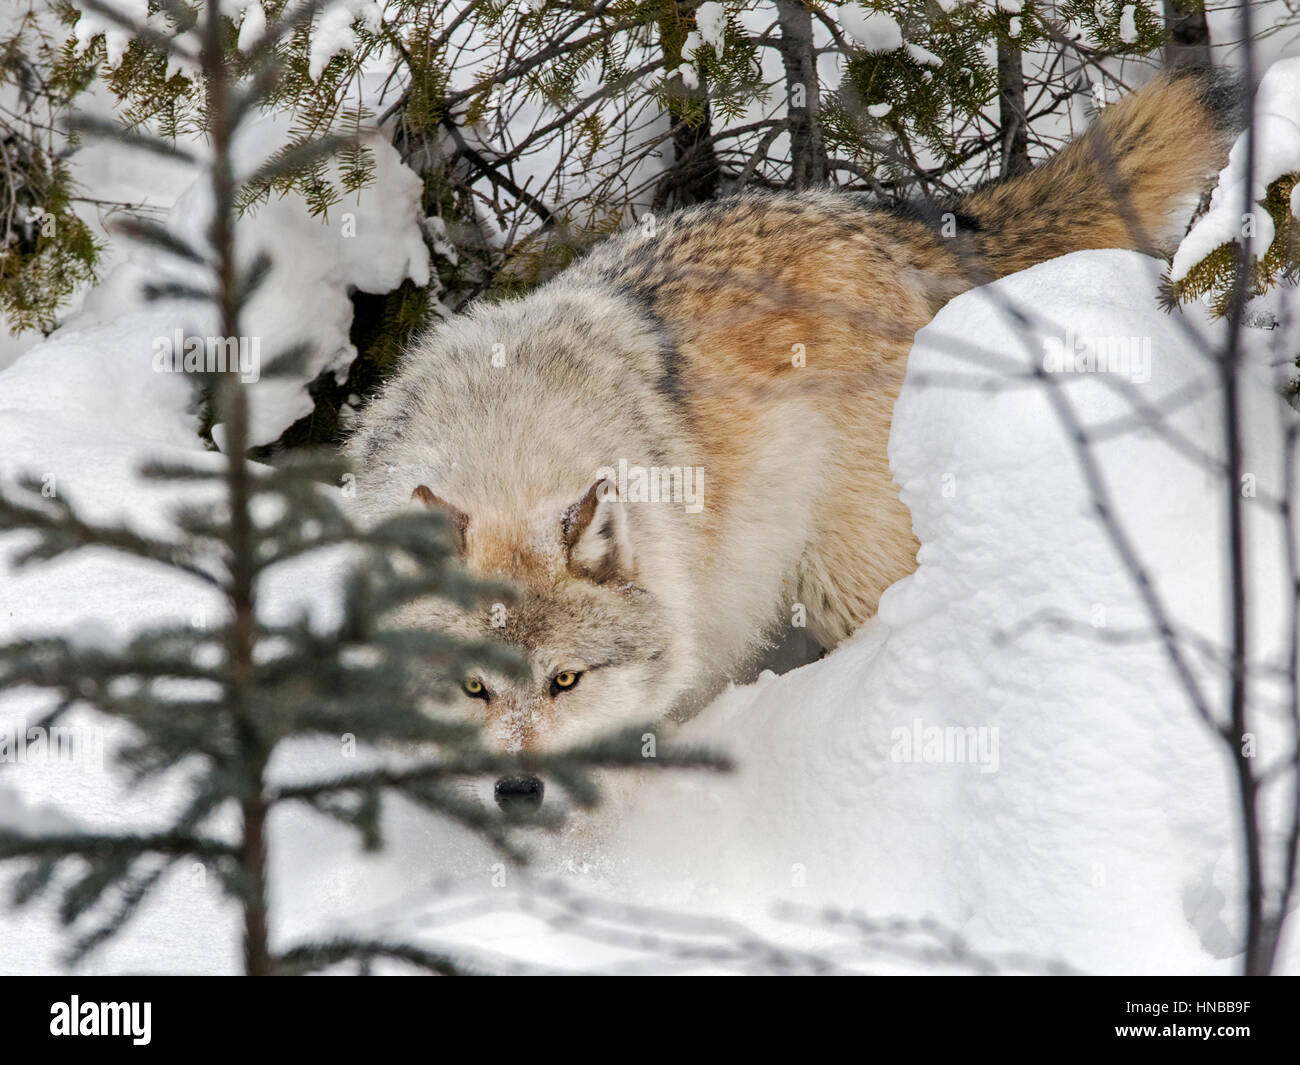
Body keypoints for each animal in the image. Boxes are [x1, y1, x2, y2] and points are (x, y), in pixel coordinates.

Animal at [347, 68, 1237, 802]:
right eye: (472, 687)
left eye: (565, 680)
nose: (518, 791)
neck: (507, 457)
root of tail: (868, 217)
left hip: (842, 573)